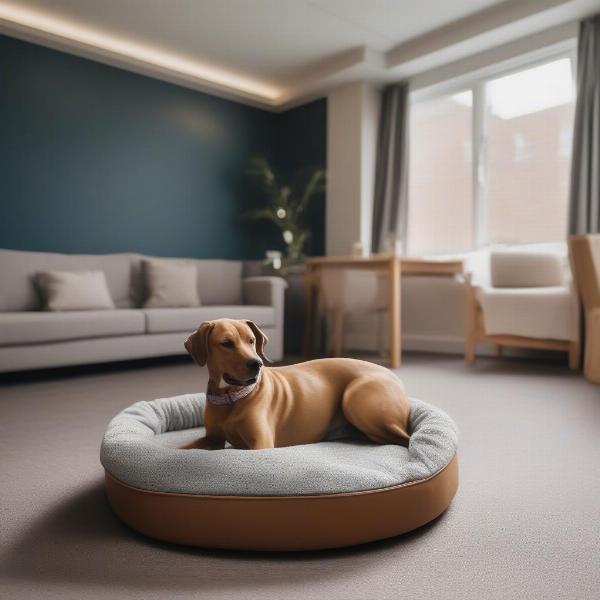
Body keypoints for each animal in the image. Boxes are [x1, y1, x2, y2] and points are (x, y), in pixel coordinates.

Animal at [182, 318, 408, 450]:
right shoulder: (212, 439)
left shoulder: (261, 445)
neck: (230, 398)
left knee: (403, 438)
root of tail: (394, 377)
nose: (257, 364)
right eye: (226, 343)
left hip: (354, 398)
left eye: (251, 340)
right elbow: (184, 448)